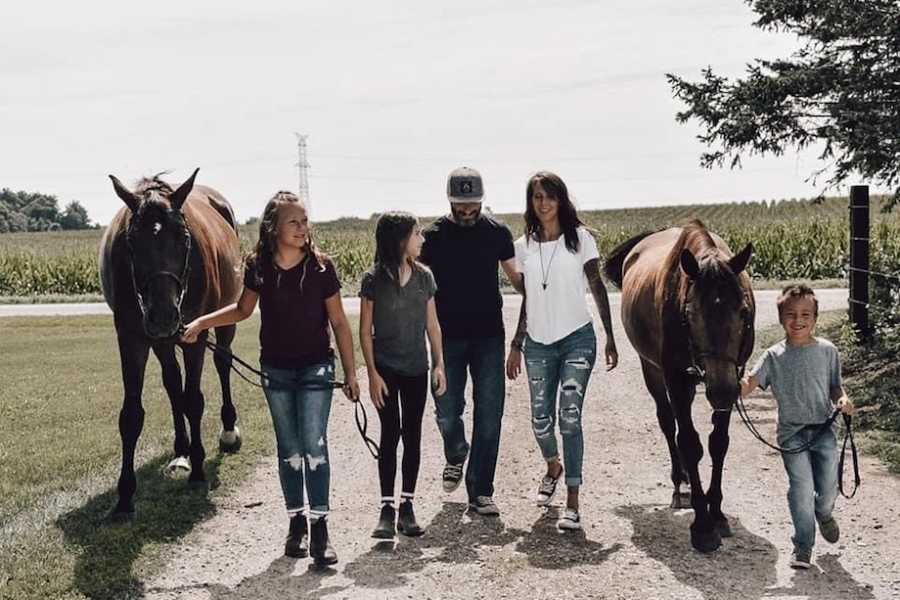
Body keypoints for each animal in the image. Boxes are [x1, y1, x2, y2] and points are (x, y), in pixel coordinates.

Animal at [99, 170, 243, 520]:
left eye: (184, 238)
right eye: (131, 242)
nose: (163, 315)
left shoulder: (196, 335)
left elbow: (193, 399)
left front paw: (199, 473)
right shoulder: (131, 337)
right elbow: (132, 415)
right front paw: (124, 497)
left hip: (225, 320)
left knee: (223, 363)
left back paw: (227, 431)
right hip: (160, 341)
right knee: (172, 381)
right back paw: (181, 450)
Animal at [600, 220, 756, 552]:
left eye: (743, 311)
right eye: (690, 314)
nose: (722, 390)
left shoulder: (731, 378)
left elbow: (718, 443)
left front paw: (717, 512)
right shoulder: (676, 378)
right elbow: (689, 441)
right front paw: (703, 525)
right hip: (653, 371)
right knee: (667, 422)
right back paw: (679, 484)